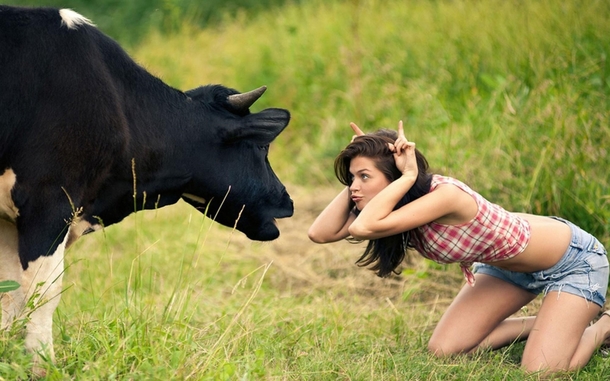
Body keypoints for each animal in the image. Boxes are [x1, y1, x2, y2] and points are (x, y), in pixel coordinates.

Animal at [0, 3, 294, 372]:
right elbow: (43, 293)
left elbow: (9, 293)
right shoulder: (48, 201)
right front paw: (42, 366)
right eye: (261, 147)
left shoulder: (9, 220)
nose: (287, 200)